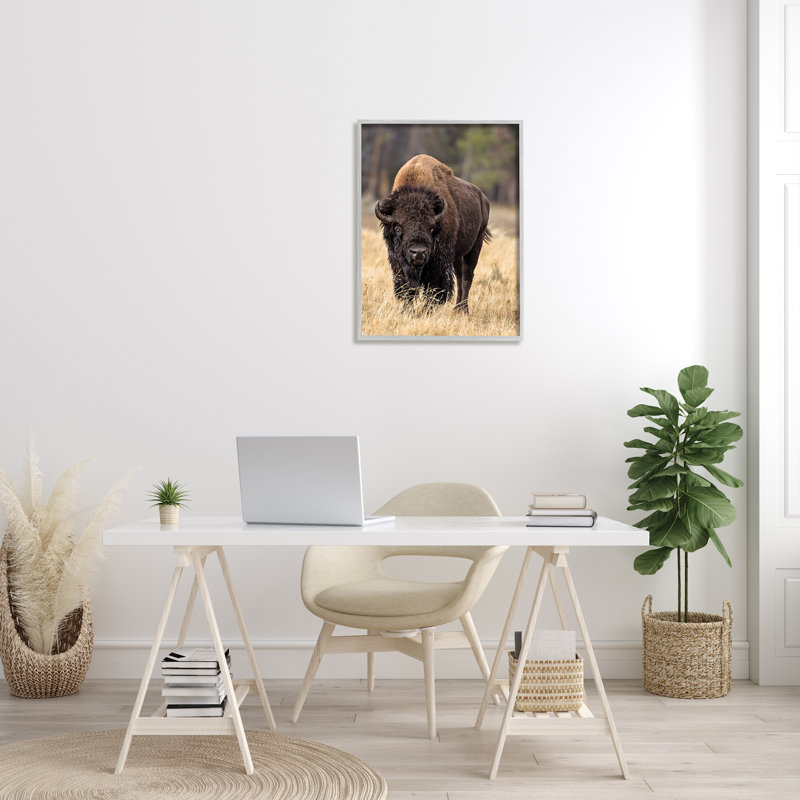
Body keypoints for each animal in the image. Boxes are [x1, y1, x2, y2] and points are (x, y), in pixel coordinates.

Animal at [374, 154, 490, 314]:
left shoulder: (439, 262)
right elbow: (408, 287)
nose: (418, 253)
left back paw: (463, 310)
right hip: (457, 255)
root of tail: (483, 199)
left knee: (467, 277)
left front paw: (427, 311)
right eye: (398, 228)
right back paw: (456, 309)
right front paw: (407, 311)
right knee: (460, 276)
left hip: (475, 245)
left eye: (431, 227)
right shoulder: (398, 261)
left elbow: (434, 288)